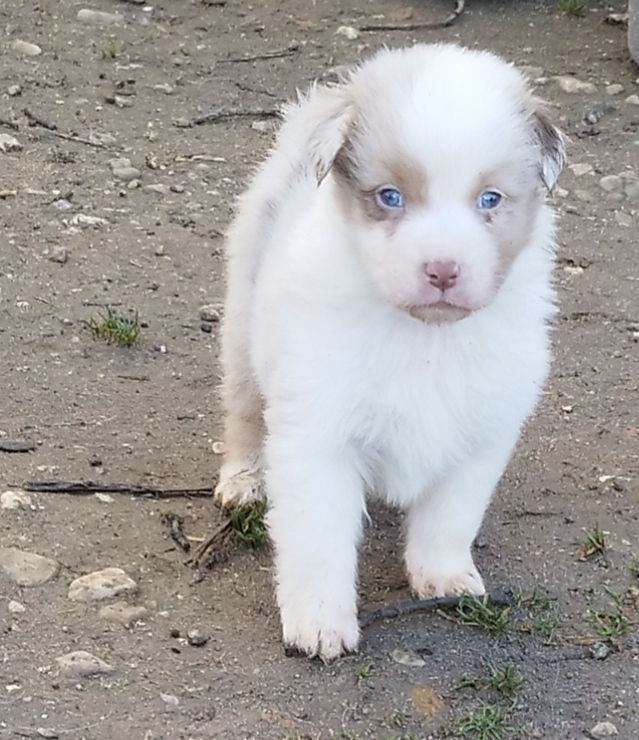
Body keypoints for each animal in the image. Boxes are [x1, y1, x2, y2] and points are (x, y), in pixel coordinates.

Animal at [214, 43, 565, 661]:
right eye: (390, 197)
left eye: (490, 199)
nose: (443, 269)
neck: (425, 338)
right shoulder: (318, 435)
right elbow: (319, 538)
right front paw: (319, 622)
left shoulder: (483, 431)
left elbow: (450, 516)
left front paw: (443, 576)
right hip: (242, 329)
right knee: (245, 413)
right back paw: (242, 480)